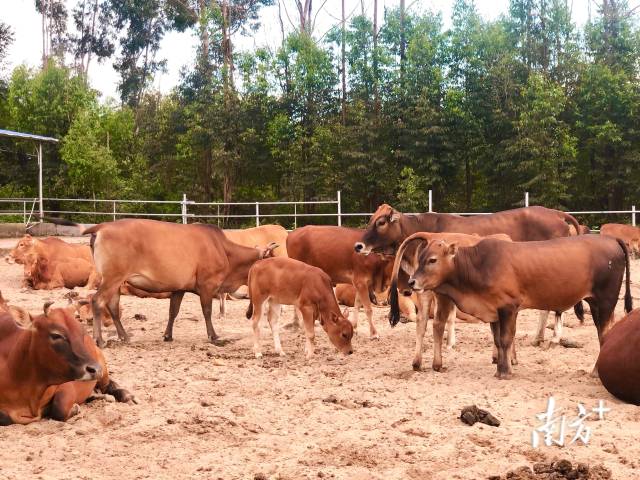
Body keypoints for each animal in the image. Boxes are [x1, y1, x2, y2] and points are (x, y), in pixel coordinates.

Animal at [0, 306, 132, 426]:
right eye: (56, 335)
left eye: (82, 333)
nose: (95, 369)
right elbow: (5, 417)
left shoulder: (67, 383)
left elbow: (59, 408)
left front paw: (75, 409)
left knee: (107, 385)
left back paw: (124, 394)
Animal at [404, 235, 632, 378]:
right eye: (420, 258)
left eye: (432, 260)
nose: (411, 282)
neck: (478, 265)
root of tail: (611, 239)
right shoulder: (494, 311)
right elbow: (497, 340)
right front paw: (500, 369)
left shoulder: (508, 307)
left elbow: (505, 340)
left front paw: (505, 372)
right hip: (598, 304)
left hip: (605, 301)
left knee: (604, 335)